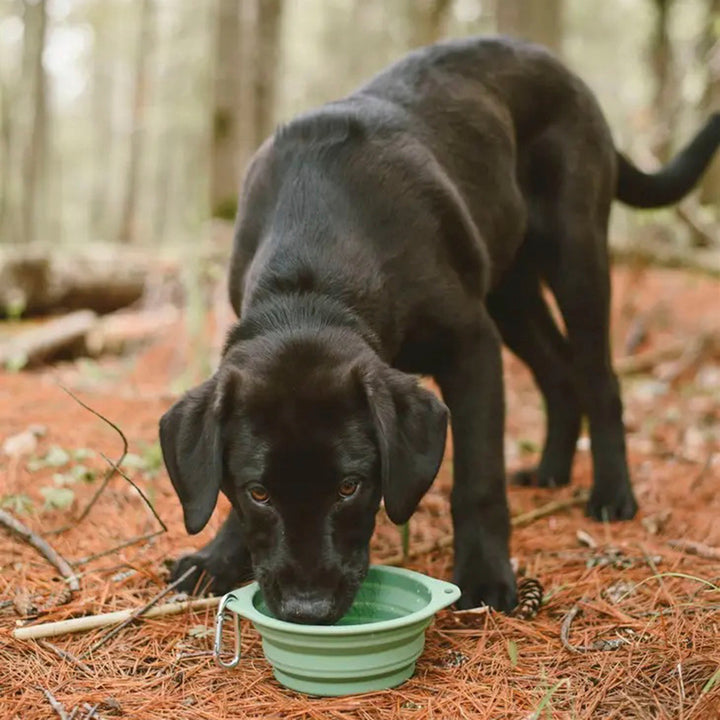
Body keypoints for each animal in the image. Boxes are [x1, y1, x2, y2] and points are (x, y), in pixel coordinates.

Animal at [162, 38, 720, 624]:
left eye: (349, 486)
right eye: (259, 493)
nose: (307, 608)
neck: (309, 280)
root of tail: (561, 69)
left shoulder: (472, 347)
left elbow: (477, 479)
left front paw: (484, 577)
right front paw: (217, 557)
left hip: (575, 256)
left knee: (598, 378)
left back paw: (612, 494)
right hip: (511, 294)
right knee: (559, 374)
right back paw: (550, 471)